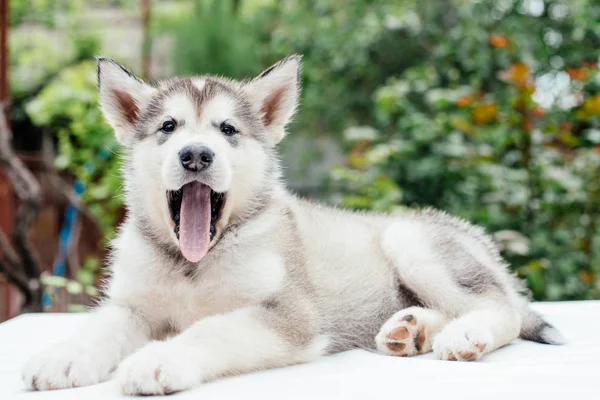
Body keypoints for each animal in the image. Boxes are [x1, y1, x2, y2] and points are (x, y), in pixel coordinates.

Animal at [19, 54, 564, 396]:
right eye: (168, 127)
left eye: (227, 130)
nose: (196, 155)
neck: (195, 264)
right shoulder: (133, 305)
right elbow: (100, 325)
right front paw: (63, 357)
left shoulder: (288, 314)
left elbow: (212, 329)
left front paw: (161, 359)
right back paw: (408, 330)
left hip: (413, 240)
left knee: (500, 308)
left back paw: (462, 334)